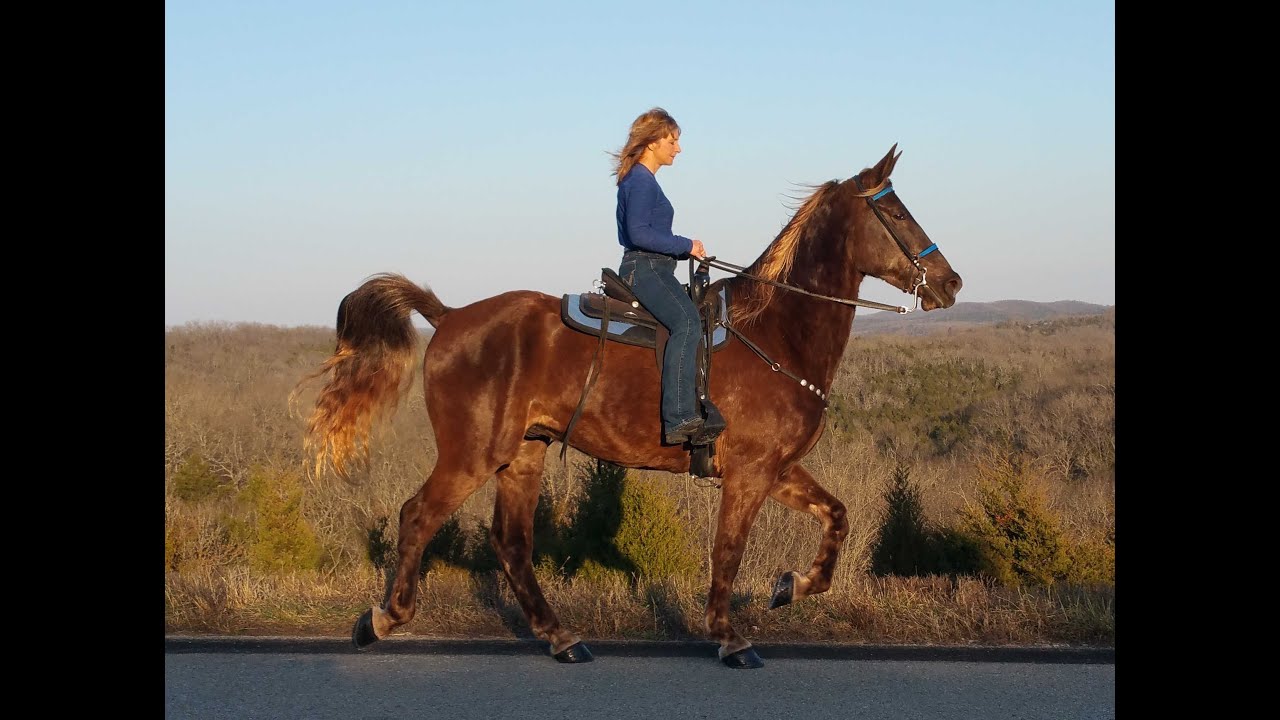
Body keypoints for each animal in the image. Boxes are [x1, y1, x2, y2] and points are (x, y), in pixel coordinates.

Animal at [295, 144, 963, 669]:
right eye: (895, 211)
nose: (951, 283)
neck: (778, 332)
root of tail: (451, 315)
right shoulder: (749, 473)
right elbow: (728, 551)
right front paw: (730, 638)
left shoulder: (775, 469)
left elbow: (837, 517)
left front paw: (789, 586)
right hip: (473, 452)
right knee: (419, 515)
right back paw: (381, 619)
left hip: (523, 455)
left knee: (511, 543)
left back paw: (561, 637)